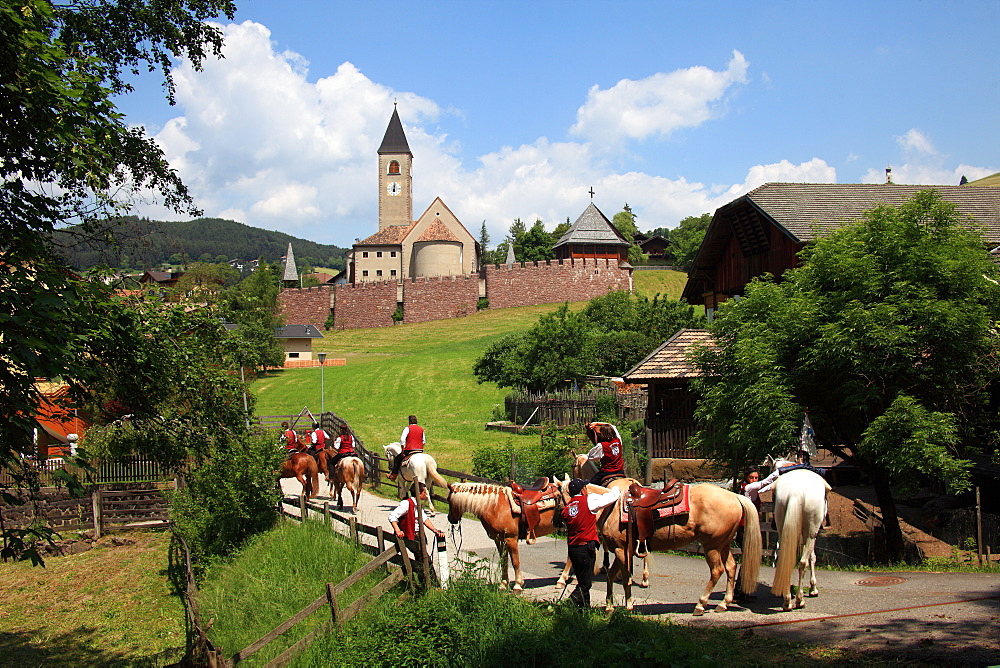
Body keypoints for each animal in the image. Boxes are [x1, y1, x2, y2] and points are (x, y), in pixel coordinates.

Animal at [560, 474, 760, 616]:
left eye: (558, 494)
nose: (561, 519)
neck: (611, 508)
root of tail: (735, 496)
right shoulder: (622, 550)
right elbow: (610, 575)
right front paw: (609, 607)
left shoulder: (621, 550)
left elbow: (625, 578)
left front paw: (629, 605)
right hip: (723, 544)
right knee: (731, 567)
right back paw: (723, 604)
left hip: (711, 544)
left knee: (717, 570)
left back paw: (700, 605)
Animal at [768, 460, 832, 612]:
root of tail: (795, 492)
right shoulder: (811, 535)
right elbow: (812, 558)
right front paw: (813, 589)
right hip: (811, 532)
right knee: (803, 562)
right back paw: (799, 600)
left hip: (783, 528)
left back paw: (787, 601)